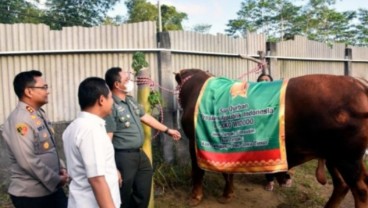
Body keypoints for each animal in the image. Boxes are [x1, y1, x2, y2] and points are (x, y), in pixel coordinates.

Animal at [175, 68, 368, 208]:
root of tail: (360, 84)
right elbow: (226, 170)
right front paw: (227, 194)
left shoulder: (194, 142)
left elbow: (197, 171)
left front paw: (195, 197)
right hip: (334, 156)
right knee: (342, 185)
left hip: (347, 157)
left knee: (361, 190)